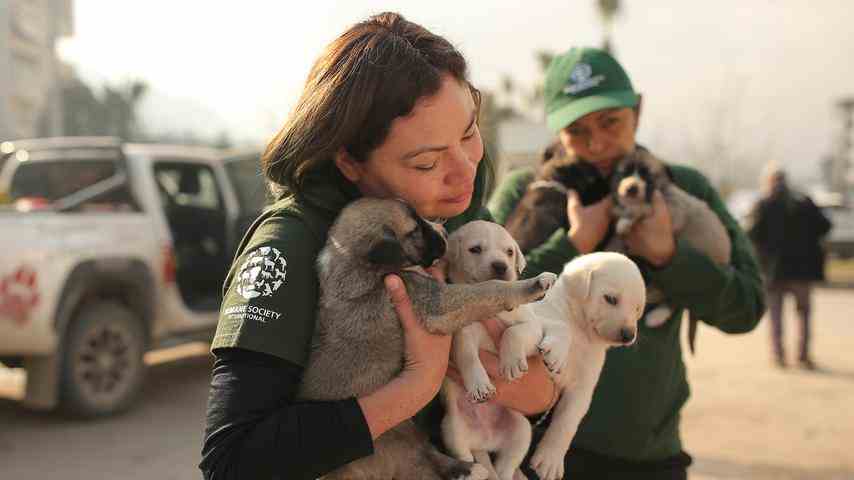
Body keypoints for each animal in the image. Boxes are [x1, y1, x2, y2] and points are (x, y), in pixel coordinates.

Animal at [298, 198, 560, 480]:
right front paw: (534, 284)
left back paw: (469, 469)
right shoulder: (439, 302)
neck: (351, 266)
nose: (444, 230)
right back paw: (471, 469)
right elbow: (490, 288)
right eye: (415, 230)